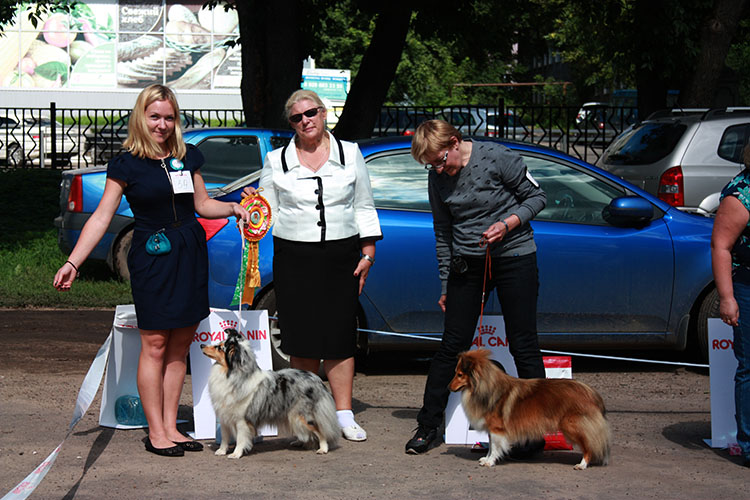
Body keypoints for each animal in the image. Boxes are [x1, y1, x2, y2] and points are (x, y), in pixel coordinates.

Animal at [200, 328, 339, 458]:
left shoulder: (241, 420)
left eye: (219, 347)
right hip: (294, 417)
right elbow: (224, 438)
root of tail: (317, 379)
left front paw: (236, 454)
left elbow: (240, 438)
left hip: (302, 416)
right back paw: (300, 442)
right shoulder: (224, 417)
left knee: (321, 431)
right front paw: (221, 451)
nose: (201, 345)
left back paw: (323, 448)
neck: (230, 373)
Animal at [449, 349, 611, 470]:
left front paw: (490, 461)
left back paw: (582, 464)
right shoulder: (492, 428)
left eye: (460, 374)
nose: (448, 387)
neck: (485, 387)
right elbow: (490, 446)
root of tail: (590, 392)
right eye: (456, 372)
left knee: (589, 445)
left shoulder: (496, 428)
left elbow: (494, 446)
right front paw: (486, 459)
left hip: (572, 425)